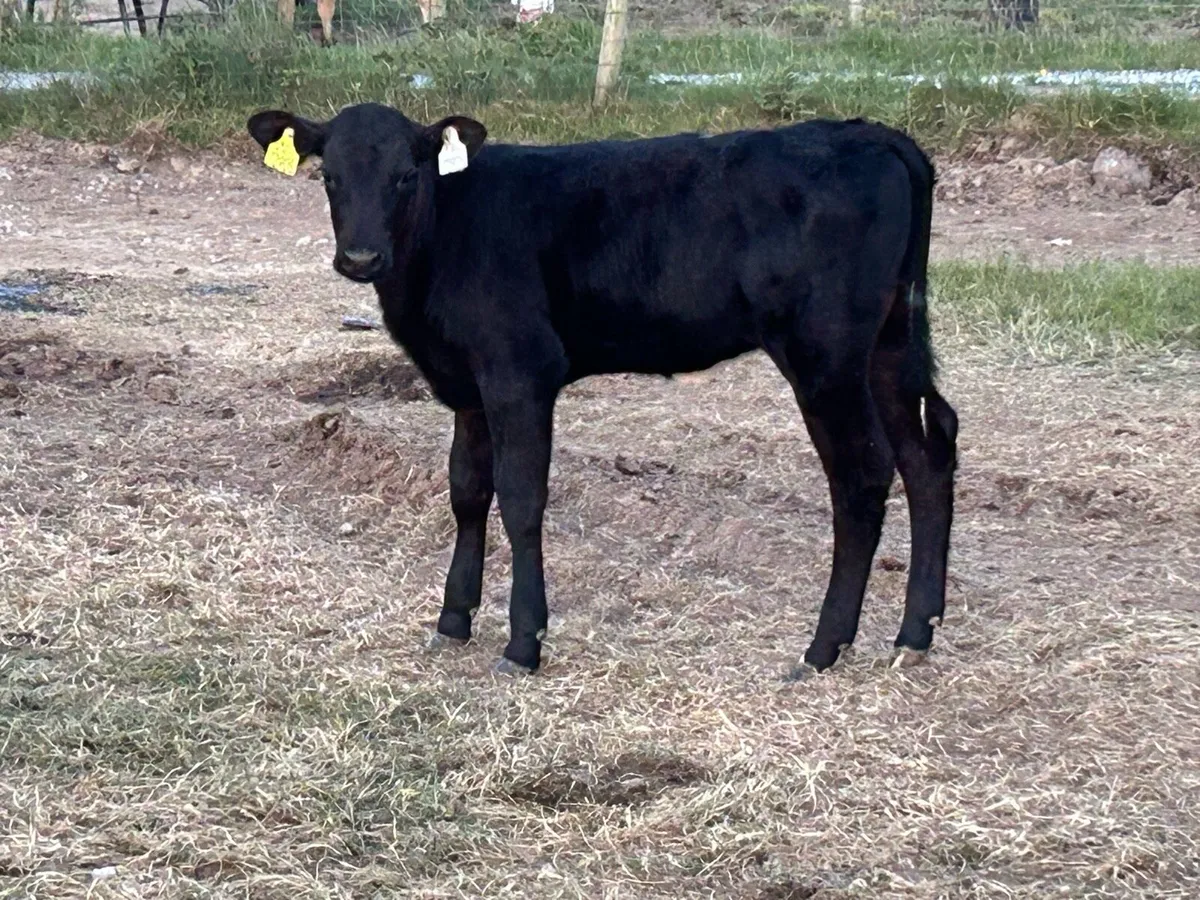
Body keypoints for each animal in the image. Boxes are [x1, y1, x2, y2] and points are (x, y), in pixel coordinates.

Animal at [246, 102, 959, 678]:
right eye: (329, 177)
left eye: (405, 175)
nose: (360, 259)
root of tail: (869, 134)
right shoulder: (469, 386)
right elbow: (467, 493)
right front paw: (453, 621)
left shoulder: (520, 372)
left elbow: (521, 499)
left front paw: (522, 644)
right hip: (888, 343)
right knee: (928, 454)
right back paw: (914, 634)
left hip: (824, 354)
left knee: (863, 475)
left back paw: (823, 647)